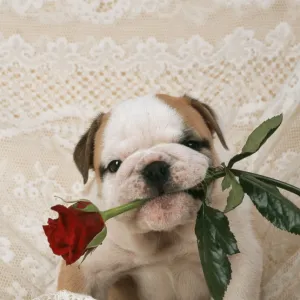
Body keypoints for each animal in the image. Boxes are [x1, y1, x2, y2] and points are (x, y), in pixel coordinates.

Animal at [56, 94, 262, 300]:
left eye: (191, 144)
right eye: (114, 165)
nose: (154, 168)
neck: (165, 235)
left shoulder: (240, 259)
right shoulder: (86, 267)